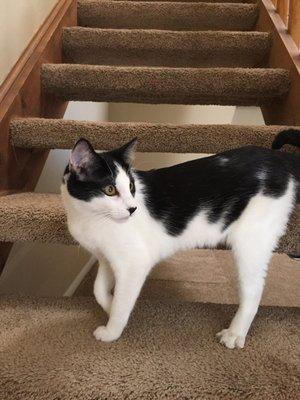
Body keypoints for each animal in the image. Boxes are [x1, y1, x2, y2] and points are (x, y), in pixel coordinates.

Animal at [60, 130, 298, 348]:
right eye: (110, 190)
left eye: (130, 187)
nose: (132, 208)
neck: (89, 217)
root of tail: (277, 157)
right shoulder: (105, 257)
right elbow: (98, 289)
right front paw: (109, 305)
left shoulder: (134, 263)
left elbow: (122, 300)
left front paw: (112, 329)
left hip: (251, 240)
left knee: (254, 291)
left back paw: (235, 333)